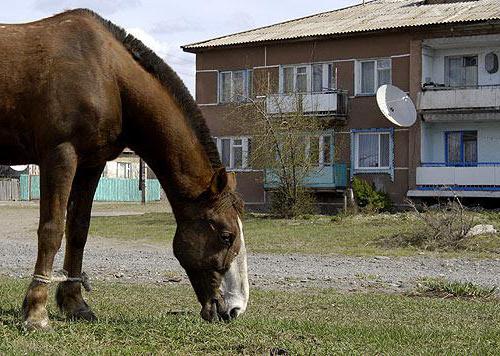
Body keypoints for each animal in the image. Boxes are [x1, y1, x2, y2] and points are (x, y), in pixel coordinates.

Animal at [0, 9, 249, 330]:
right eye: (226, 236)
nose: (235, 309)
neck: (107, 74)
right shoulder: (60, 155)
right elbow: (52, 230)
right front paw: (36, 311)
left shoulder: (91, 163)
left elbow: (78, 230)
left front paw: (75, 304)